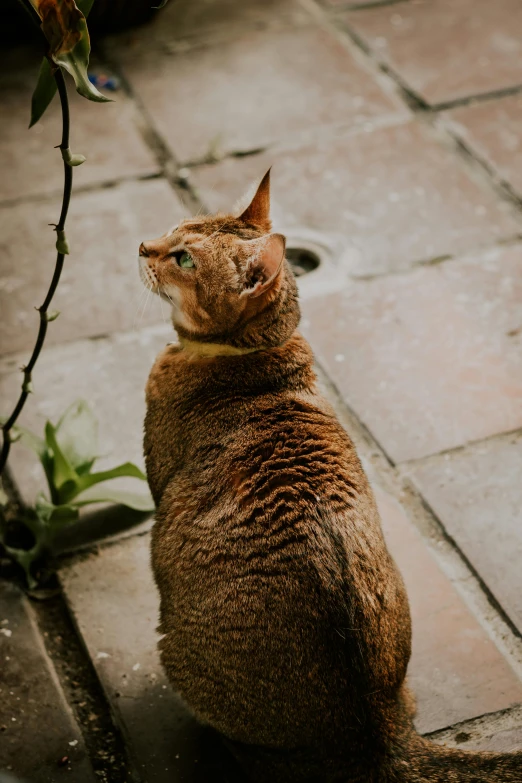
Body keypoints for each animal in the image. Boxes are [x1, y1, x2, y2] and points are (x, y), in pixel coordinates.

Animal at [139, 173, 520, 783]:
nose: (142, 248)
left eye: (184, 258)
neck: (252, 355)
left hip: (173, 649)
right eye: (175, 231)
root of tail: (378, 731)